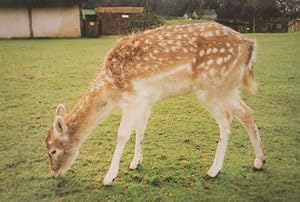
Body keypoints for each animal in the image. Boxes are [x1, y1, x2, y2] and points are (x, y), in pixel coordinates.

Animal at [45, 22, 266, 186]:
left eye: (52, 150)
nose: (54, 174)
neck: (111, 90)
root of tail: (249, 45)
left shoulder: (134, 98)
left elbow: (122, 134)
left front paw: (109, 177)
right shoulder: (145, 101)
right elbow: (140, 129)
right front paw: (135, 162)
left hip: (211, 87)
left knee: (227, 121)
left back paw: (214, 170)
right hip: (228, 87)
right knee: (247, 113)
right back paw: (259, 161)